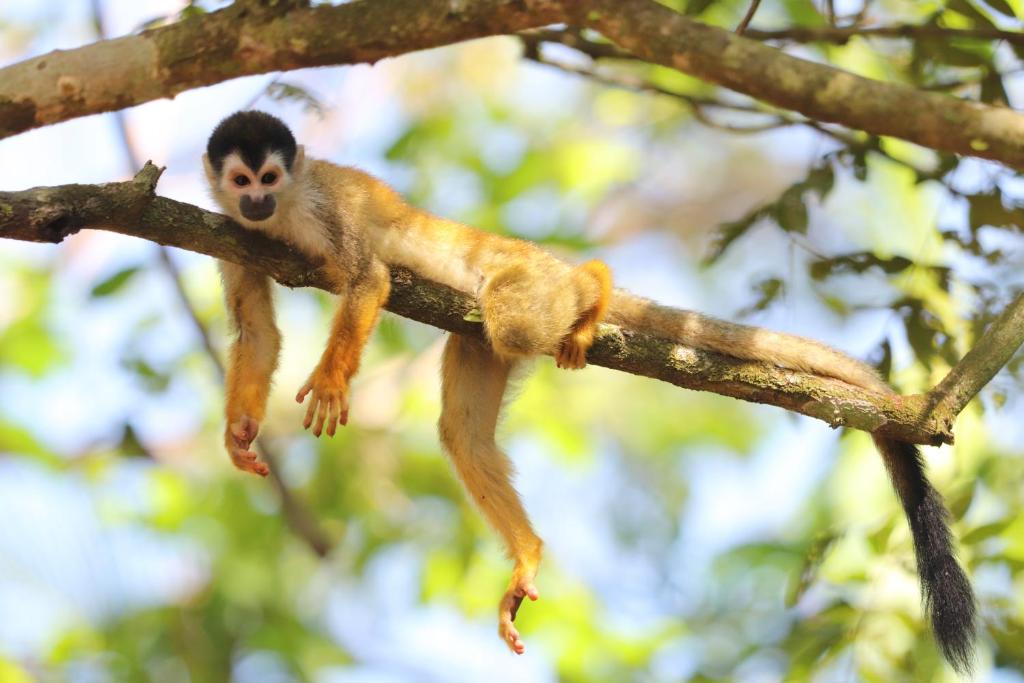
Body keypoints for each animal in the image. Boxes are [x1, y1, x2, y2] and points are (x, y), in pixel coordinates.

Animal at [204, 110, 975, 671]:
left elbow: (368, 277)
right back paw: (525, 550)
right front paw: (240, 434)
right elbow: (256, 331)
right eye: (241, 180)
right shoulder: (233, 235)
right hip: (472, 334)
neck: (282, 213)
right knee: (464, 427)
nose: (258, 198)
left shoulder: (320, 205)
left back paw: (595, 287)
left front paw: (333, 377)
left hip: (519, 279)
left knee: (514, 322)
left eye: (269, 175)